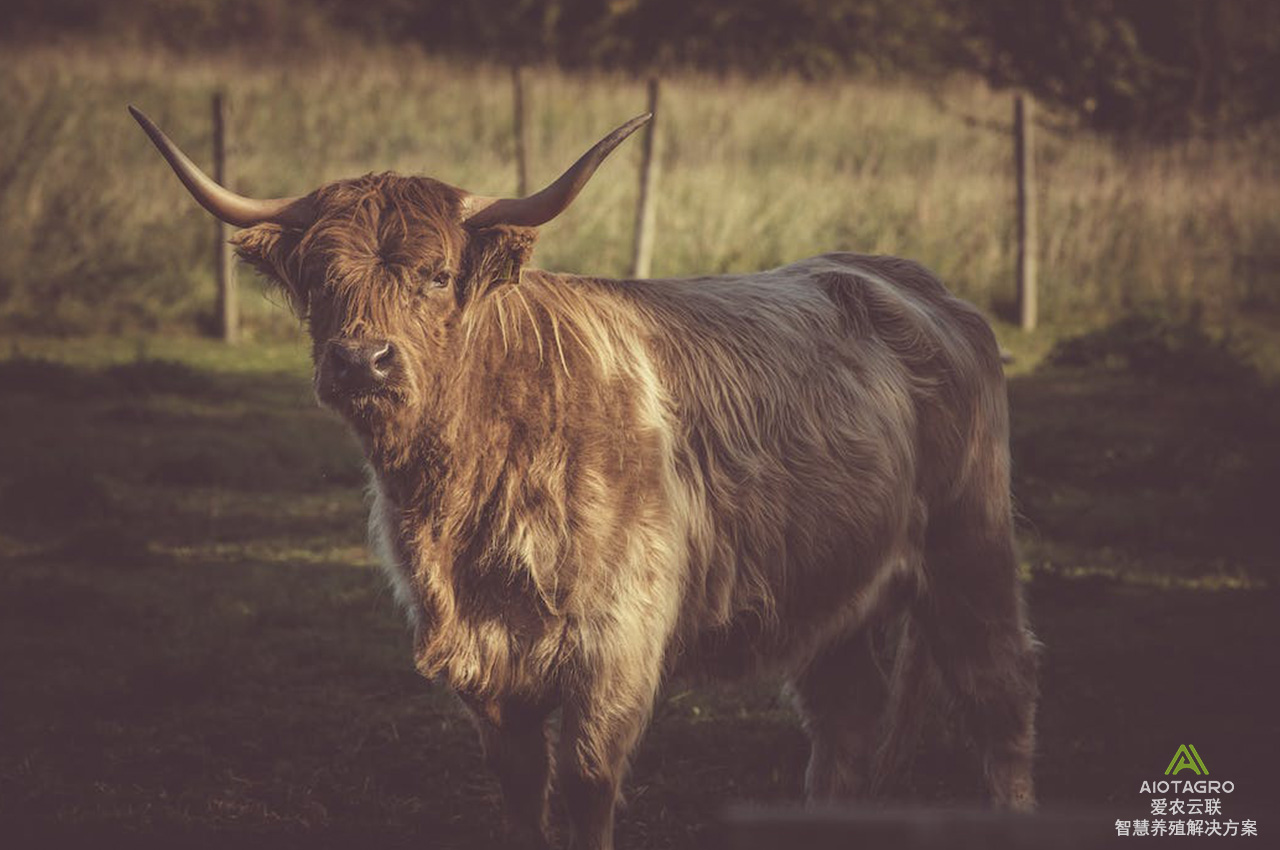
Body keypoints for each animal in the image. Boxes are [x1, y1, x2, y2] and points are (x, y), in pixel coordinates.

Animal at [132, 106, 1039, 850]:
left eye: (436, 275)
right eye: (321, 281)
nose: (362, 359)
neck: (461, 501)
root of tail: (913, 282)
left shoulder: (616, 643)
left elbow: (585, 785)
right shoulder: (487, 662)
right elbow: (520, 791)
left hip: (972, 556)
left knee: (1000, 705)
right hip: (829, 590)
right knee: (847, 723)